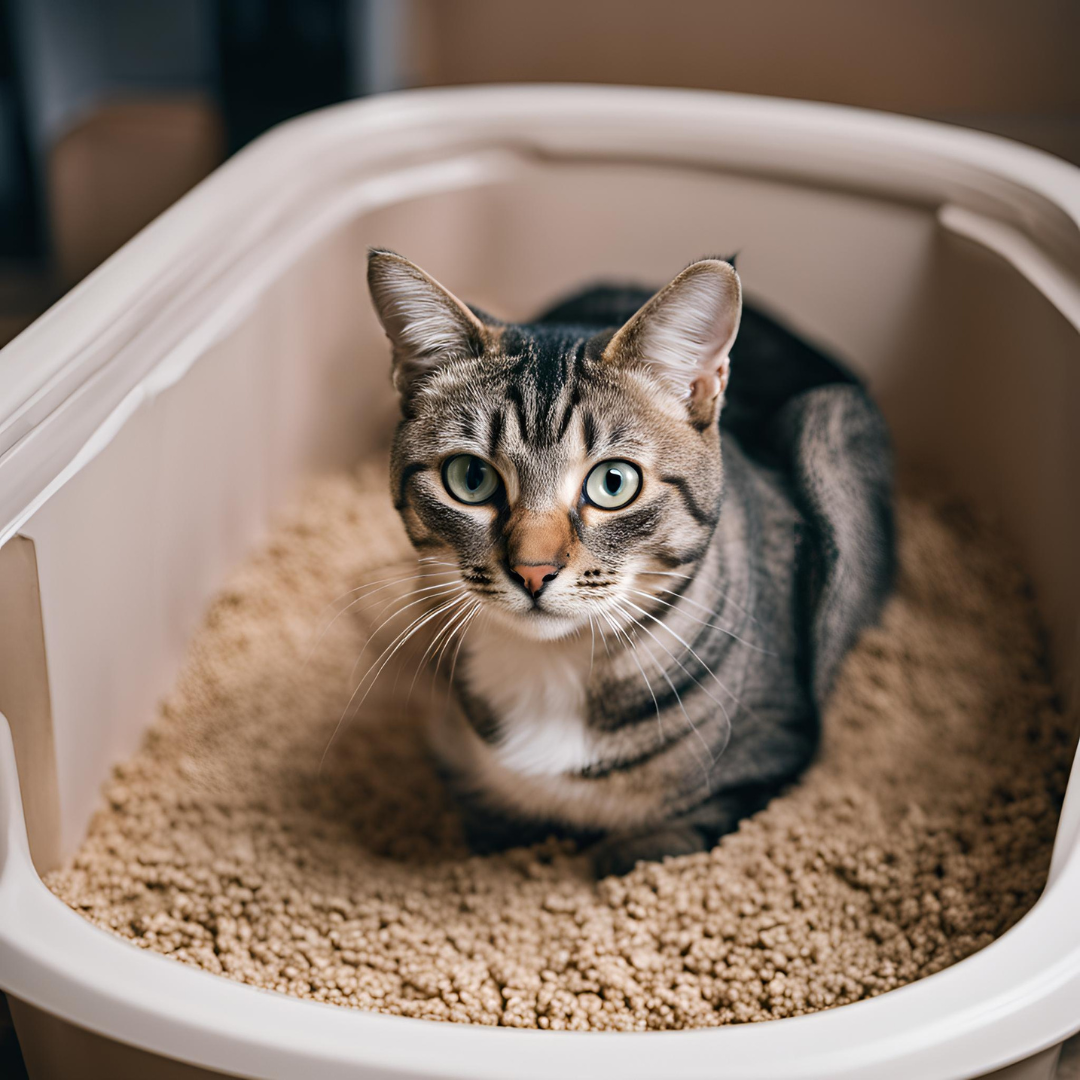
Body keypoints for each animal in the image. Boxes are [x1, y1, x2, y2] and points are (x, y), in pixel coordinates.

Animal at [367, 250, 889, 876]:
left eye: (613, 483)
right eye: (471, 479)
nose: (533, 570)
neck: (552, 669)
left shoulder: (774, 748)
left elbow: (652, 842)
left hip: (824, 426)